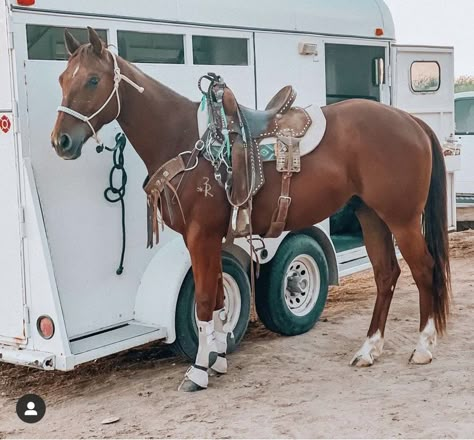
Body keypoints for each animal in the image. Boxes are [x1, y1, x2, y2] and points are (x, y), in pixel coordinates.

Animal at [51, 29, 452, 390]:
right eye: (62, 78)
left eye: (92, 80)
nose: (61, 141)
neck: (184, 140)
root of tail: (409, 120)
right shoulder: (209, 238)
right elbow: (215, 298)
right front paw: (217, 359)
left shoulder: (201, 234)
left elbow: (203, 301)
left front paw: (198, 371)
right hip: (371, 216)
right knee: (386, 274)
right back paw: (369, 349)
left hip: (402, 219)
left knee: (424, 269)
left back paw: (423, 347)